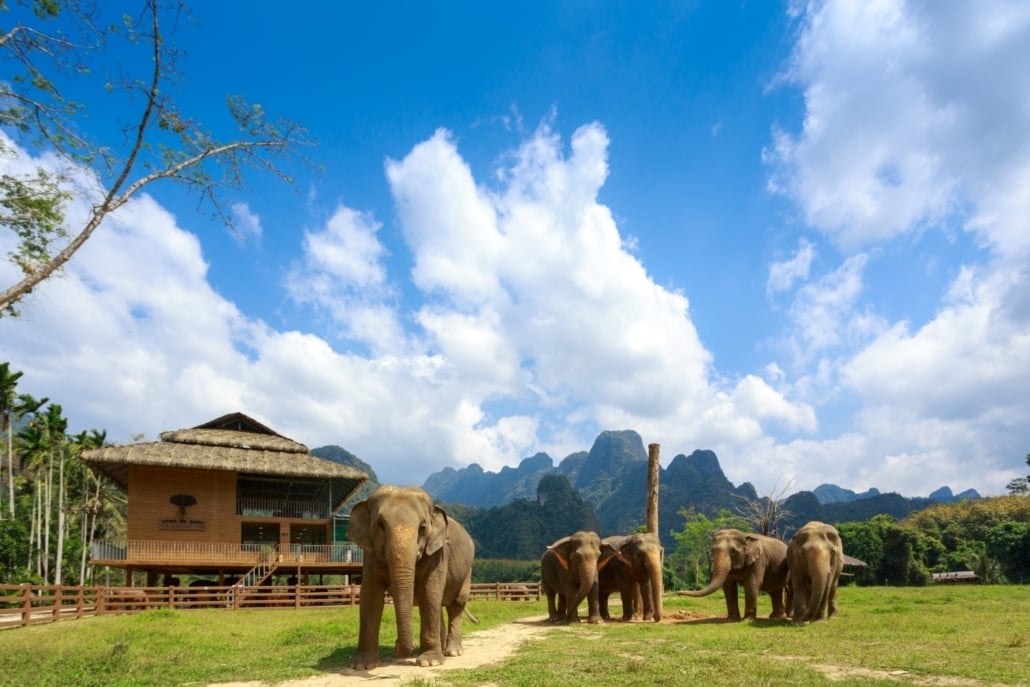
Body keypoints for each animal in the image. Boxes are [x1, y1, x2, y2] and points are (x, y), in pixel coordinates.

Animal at [348, 485, 475, 669]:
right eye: (380, 525)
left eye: (422, 527)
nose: (397, 647)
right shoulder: (370, 554)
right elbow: (370, 596)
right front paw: (362, 666)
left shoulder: (437, 554)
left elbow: (429, 593)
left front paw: (430, 662)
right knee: (439, 606)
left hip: (467, 572)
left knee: (455, 605)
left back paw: (452, 652)